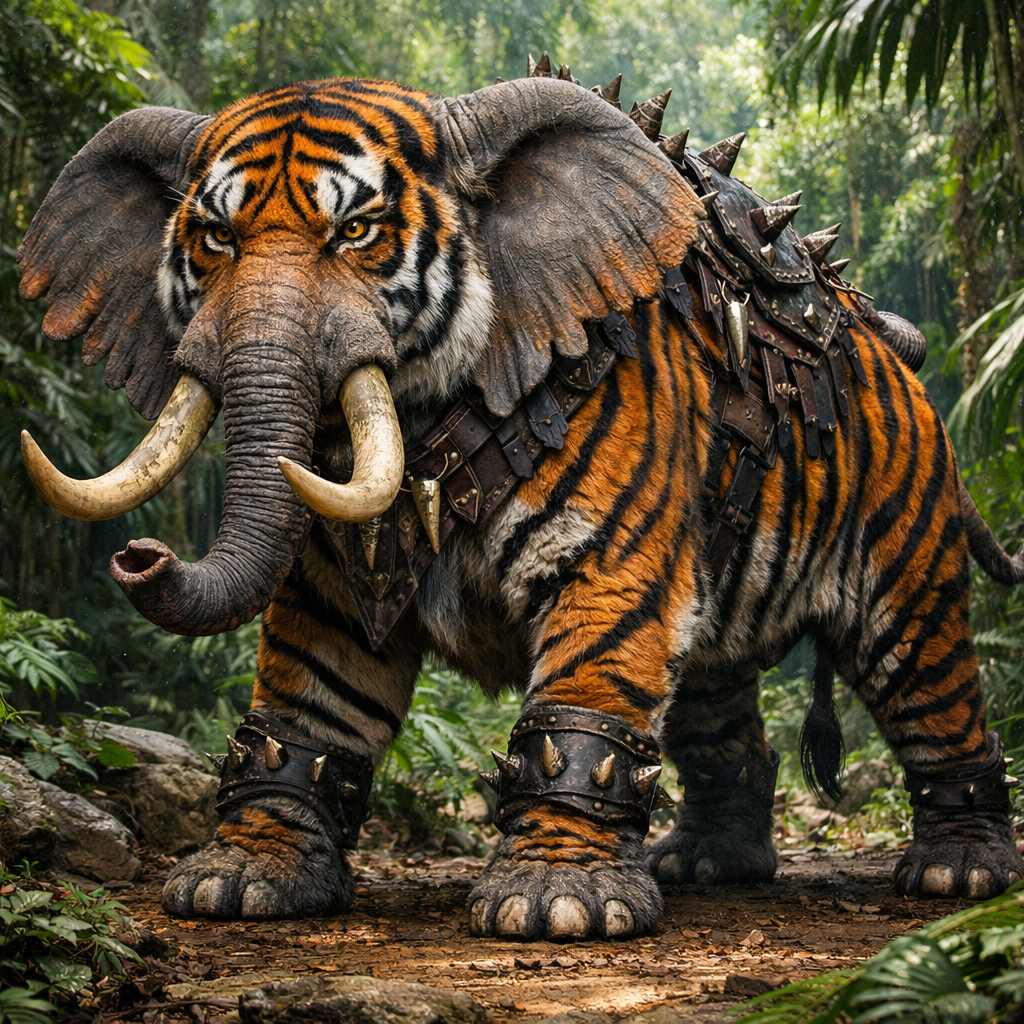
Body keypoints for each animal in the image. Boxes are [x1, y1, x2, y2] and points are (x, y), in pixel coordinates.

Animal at [17, 58, 1024, 942]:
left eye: (356, 233)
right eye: (216, 240)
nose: (139, 556)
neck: (427, 405)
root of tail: (892, 347)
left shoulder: (608, 559)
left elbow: (579, 719)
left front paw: (558, 900)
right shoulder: (332, 596)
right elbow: (305, 712)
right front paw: (247, 876)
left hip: (906, 580)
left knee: (938, 699)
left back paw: (962, 870)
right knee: (720, 719)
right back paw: (708, 863)